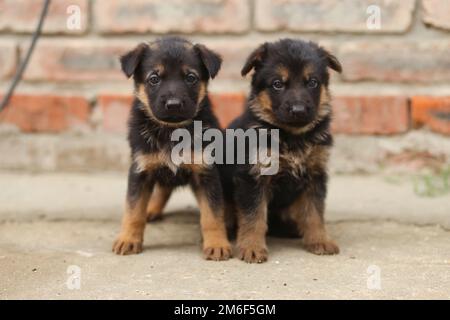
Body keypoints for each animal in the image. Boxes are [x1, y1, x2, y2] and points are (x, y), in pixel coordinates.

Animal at [112, 37, 232, 260]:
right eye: (154, 79)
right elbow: (133, 210)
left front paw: (217, 244)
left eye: (191, 78)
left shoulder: (206, 173)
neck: (172, 131)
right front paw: (128, 239)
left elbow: (212, 214)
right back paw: (151, 209)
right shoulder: (140, 170)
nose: (173, 104)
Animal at [223, 38, 342, 262]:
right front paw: (252, 247)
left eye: (312, 82)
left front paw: (320, 240)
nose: (298, 110)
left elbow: (314, 213)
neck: (291, 136)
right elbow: (253, 216)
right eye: (277, 84)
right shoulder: (253, 176)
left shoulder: (315, 175)